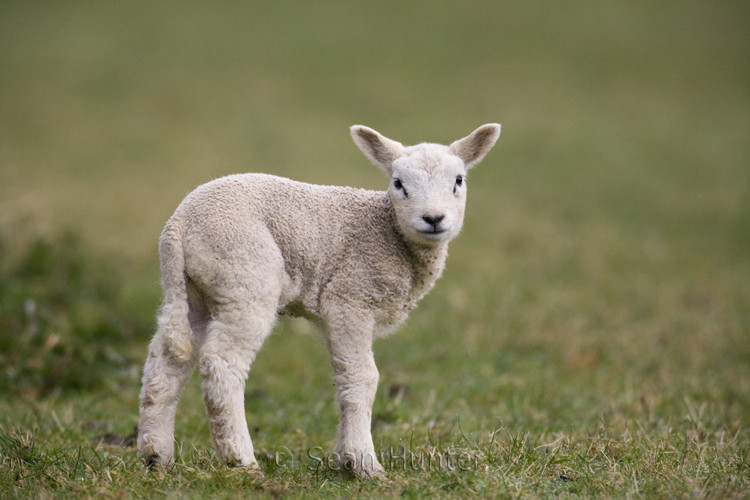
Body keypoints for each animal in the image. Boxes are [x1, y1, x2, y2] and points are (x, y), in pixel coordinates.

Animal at [138, 123, 502, 478]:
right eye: (398, 184)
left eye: (458, 181)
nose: (434, 218)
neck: (388, 232)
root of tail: (179, 225)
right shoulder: (350, 299)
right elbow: (362, 377)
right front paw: (365, 464)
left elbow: (343, 380)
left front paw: (344, 459)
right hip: (245, 278)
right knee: (222, 363)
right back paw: (241, 460)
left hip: (196, 291)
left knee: (167, 360)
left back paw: (156, 456)